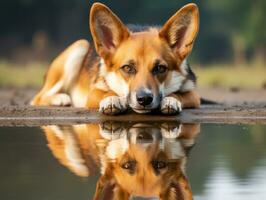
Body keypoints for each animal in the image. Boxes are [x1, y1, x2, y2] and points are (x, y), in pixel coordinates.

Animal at [30, 2, 200, 115]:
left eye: (160, 68)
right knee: (38, 98)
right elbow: (107, 92)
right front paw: (112, 99)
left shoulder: (194, 96)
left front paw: (171, 99)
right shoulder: (93, 94)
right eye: (127, 68)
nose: (144, 99)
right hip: (80, 46)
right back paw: (61, 98)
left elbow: (178, 94)